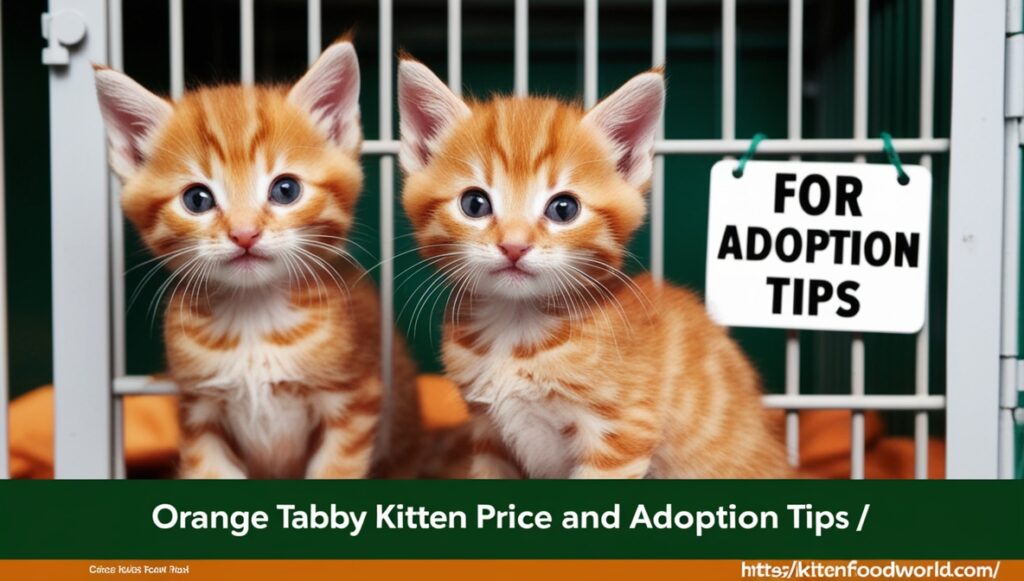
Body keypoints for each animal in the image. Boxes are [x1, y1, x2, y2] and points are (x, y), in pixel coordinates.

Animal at [92, 39, 419, 477]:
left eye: (286, 190)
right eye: (197, 199)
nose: (244, 233)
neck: (254, 319)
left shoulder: (353, 403)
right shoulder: (199, 413)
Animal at [395, 61, 786, 479]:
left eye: (564, 208)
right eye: (474, 204)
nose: (514, 245)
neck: (515, 333)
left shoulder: (621, 432)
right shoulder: (489, 436)